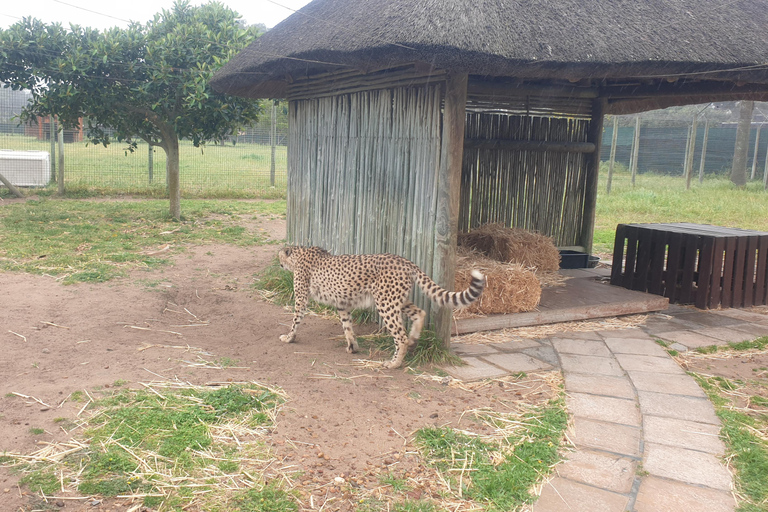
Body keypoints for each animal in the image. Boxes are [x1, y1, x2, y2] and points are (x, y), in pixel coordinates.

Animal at [277, 246, 486, 369]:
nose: (278, 263)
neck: (299, 253)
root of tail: (405, 261)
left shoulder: (302, 298)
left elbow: (295, 320)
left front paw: (288, 337)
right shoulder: (342, 303)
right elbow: (347, 326)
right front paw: (352, 347)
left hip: (386, 303)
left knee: (400, 335)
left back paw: (394, 363)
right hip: (395, 299)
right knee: (420, 312)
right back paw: (414, 338)